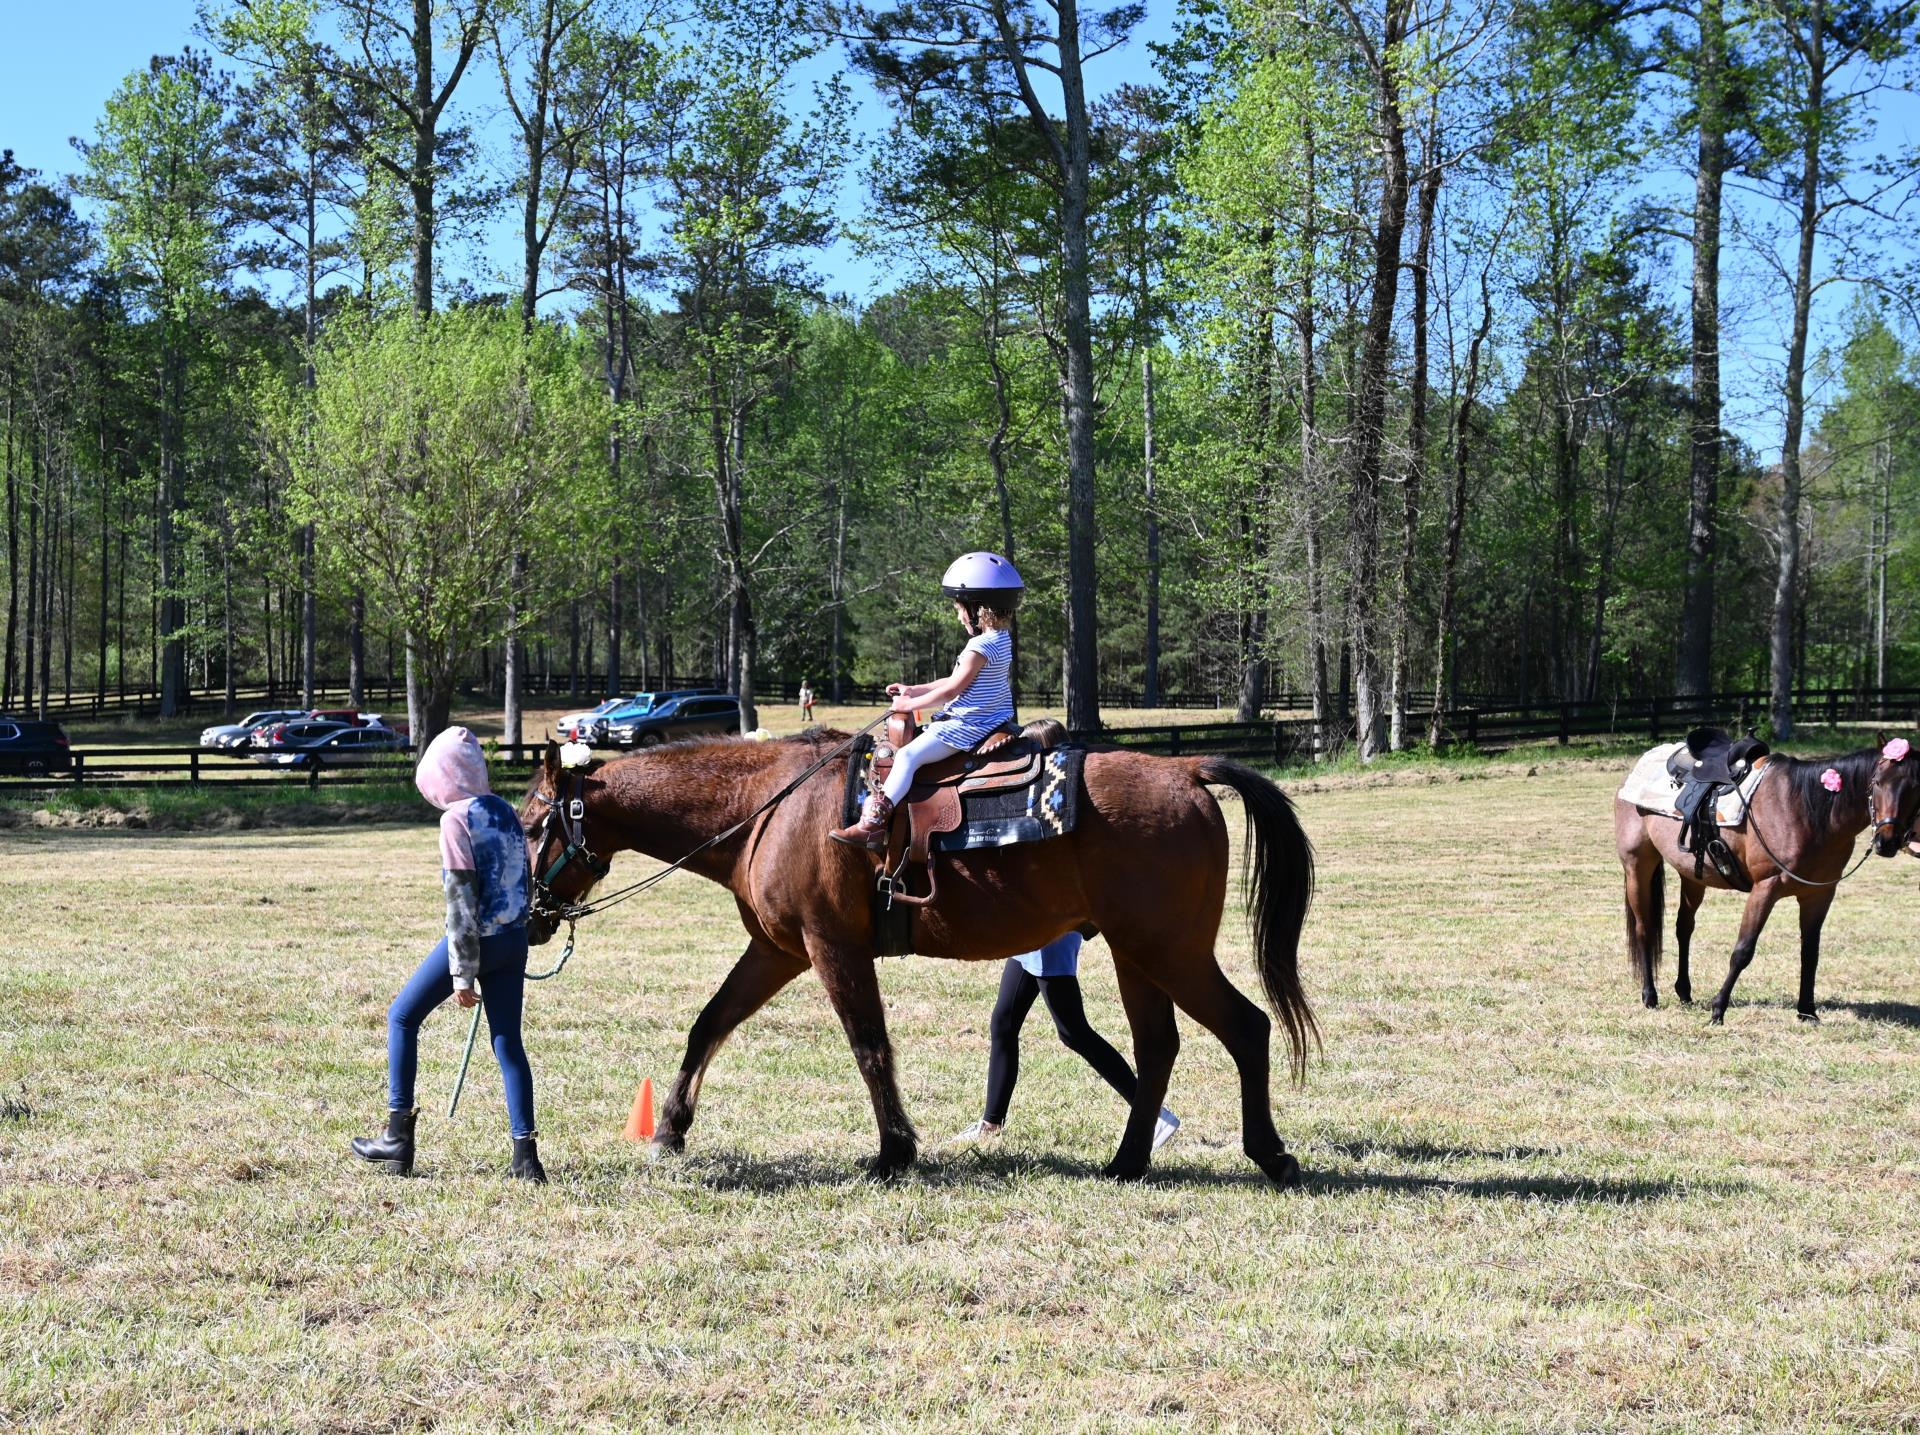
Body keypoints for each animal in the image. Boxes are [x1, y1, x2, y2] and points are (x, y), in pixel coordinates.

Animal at [518, 733, 1313, 1183]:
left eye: (529, 823)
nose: (526, 917)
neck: (769, 808)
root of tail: (1186, 770)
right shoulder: (776, 951)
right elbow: (708, 1024)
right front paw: (671, 1130)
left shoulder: (832, 948)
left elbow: (869, 1044)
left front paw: (895, 1150)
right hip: (1135, 955)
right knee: (1157, 1046)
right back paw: (1128, 1162)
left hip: (1168, 950)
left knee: (1246, 1027)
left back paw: (1270, 1154)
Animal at [1620, 741, 1920, 1021]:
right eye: (1877, 783)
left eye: (1916, 788)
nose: (1887, 842)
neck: (1804, 810)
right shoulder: (1765, 888)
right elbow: (1743, 950)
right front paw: (1718, 1010)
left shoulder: (1819, 895)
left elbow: (1810, 952)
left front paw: (1807, 1011)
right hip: (1637, 866)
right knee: (1644, 928)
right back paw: (1649, 995)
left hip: (1693, 875)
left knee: (1684, 928)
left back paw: (1684, 991)